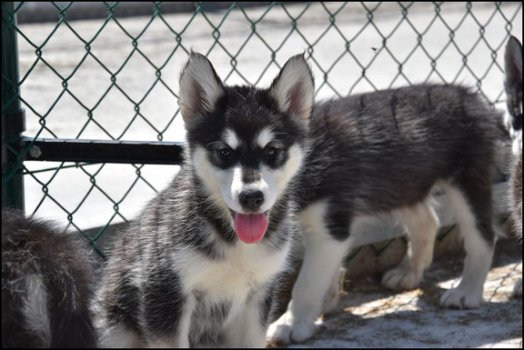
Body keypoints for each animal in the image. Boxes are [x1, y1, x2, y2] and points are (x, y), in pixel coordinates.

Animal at [93, 53, 314, 346]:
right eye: (224, 152)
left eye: (271, 151)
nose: (251, 197)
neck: (234, 244)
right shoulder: (165, 294)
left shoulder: (257, 299)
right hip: (115, 329)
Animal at [268, 81, 506, 340]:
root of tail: (470, 96)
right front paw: (326, 300)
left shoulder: (330, 224)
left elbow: (307, 283)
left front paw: (292, 324)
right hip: (406, 182)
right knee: (426, 222)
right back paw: (409, 272)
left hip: (467, 179)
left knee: (483, 236)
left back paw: (467, 291)